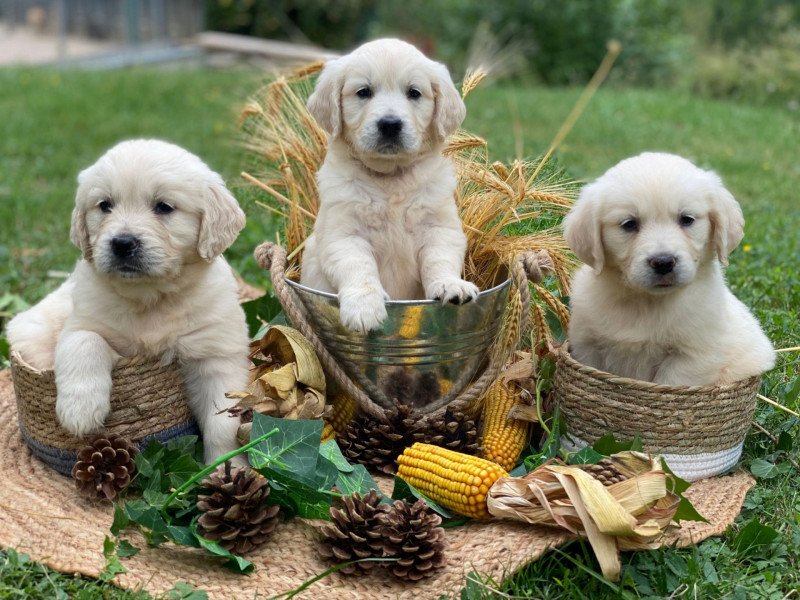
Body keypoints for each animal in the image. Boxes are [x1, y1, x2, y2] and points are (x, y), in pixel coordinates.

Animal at [7, 141, 248, 464]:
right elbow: (84, 341)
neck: (149, 297)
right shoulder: (81, 321)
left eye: (163, 207)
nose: (122, 243)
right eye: (105, 205)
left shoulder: (217, 354)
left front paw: (228, 467)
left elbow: (224, 422)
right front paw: (79, 410)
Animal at [298, 37, 476, 332]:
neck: (391, 179)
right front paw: (364, 308)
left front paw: (451, 285)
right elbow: (359, 267)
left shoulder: (439, 227)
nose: (390, 124)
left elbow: (439, 258)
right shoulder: (344, 235)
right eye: (364, 92)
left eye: (414, 93)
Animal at [564, 152, 776, 386]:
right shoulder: (587, 345)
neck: (647, 302)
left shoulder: (692, 357)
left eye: (687, 219)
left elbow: (671, 382)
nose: (663, 262)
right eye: (629, 224)